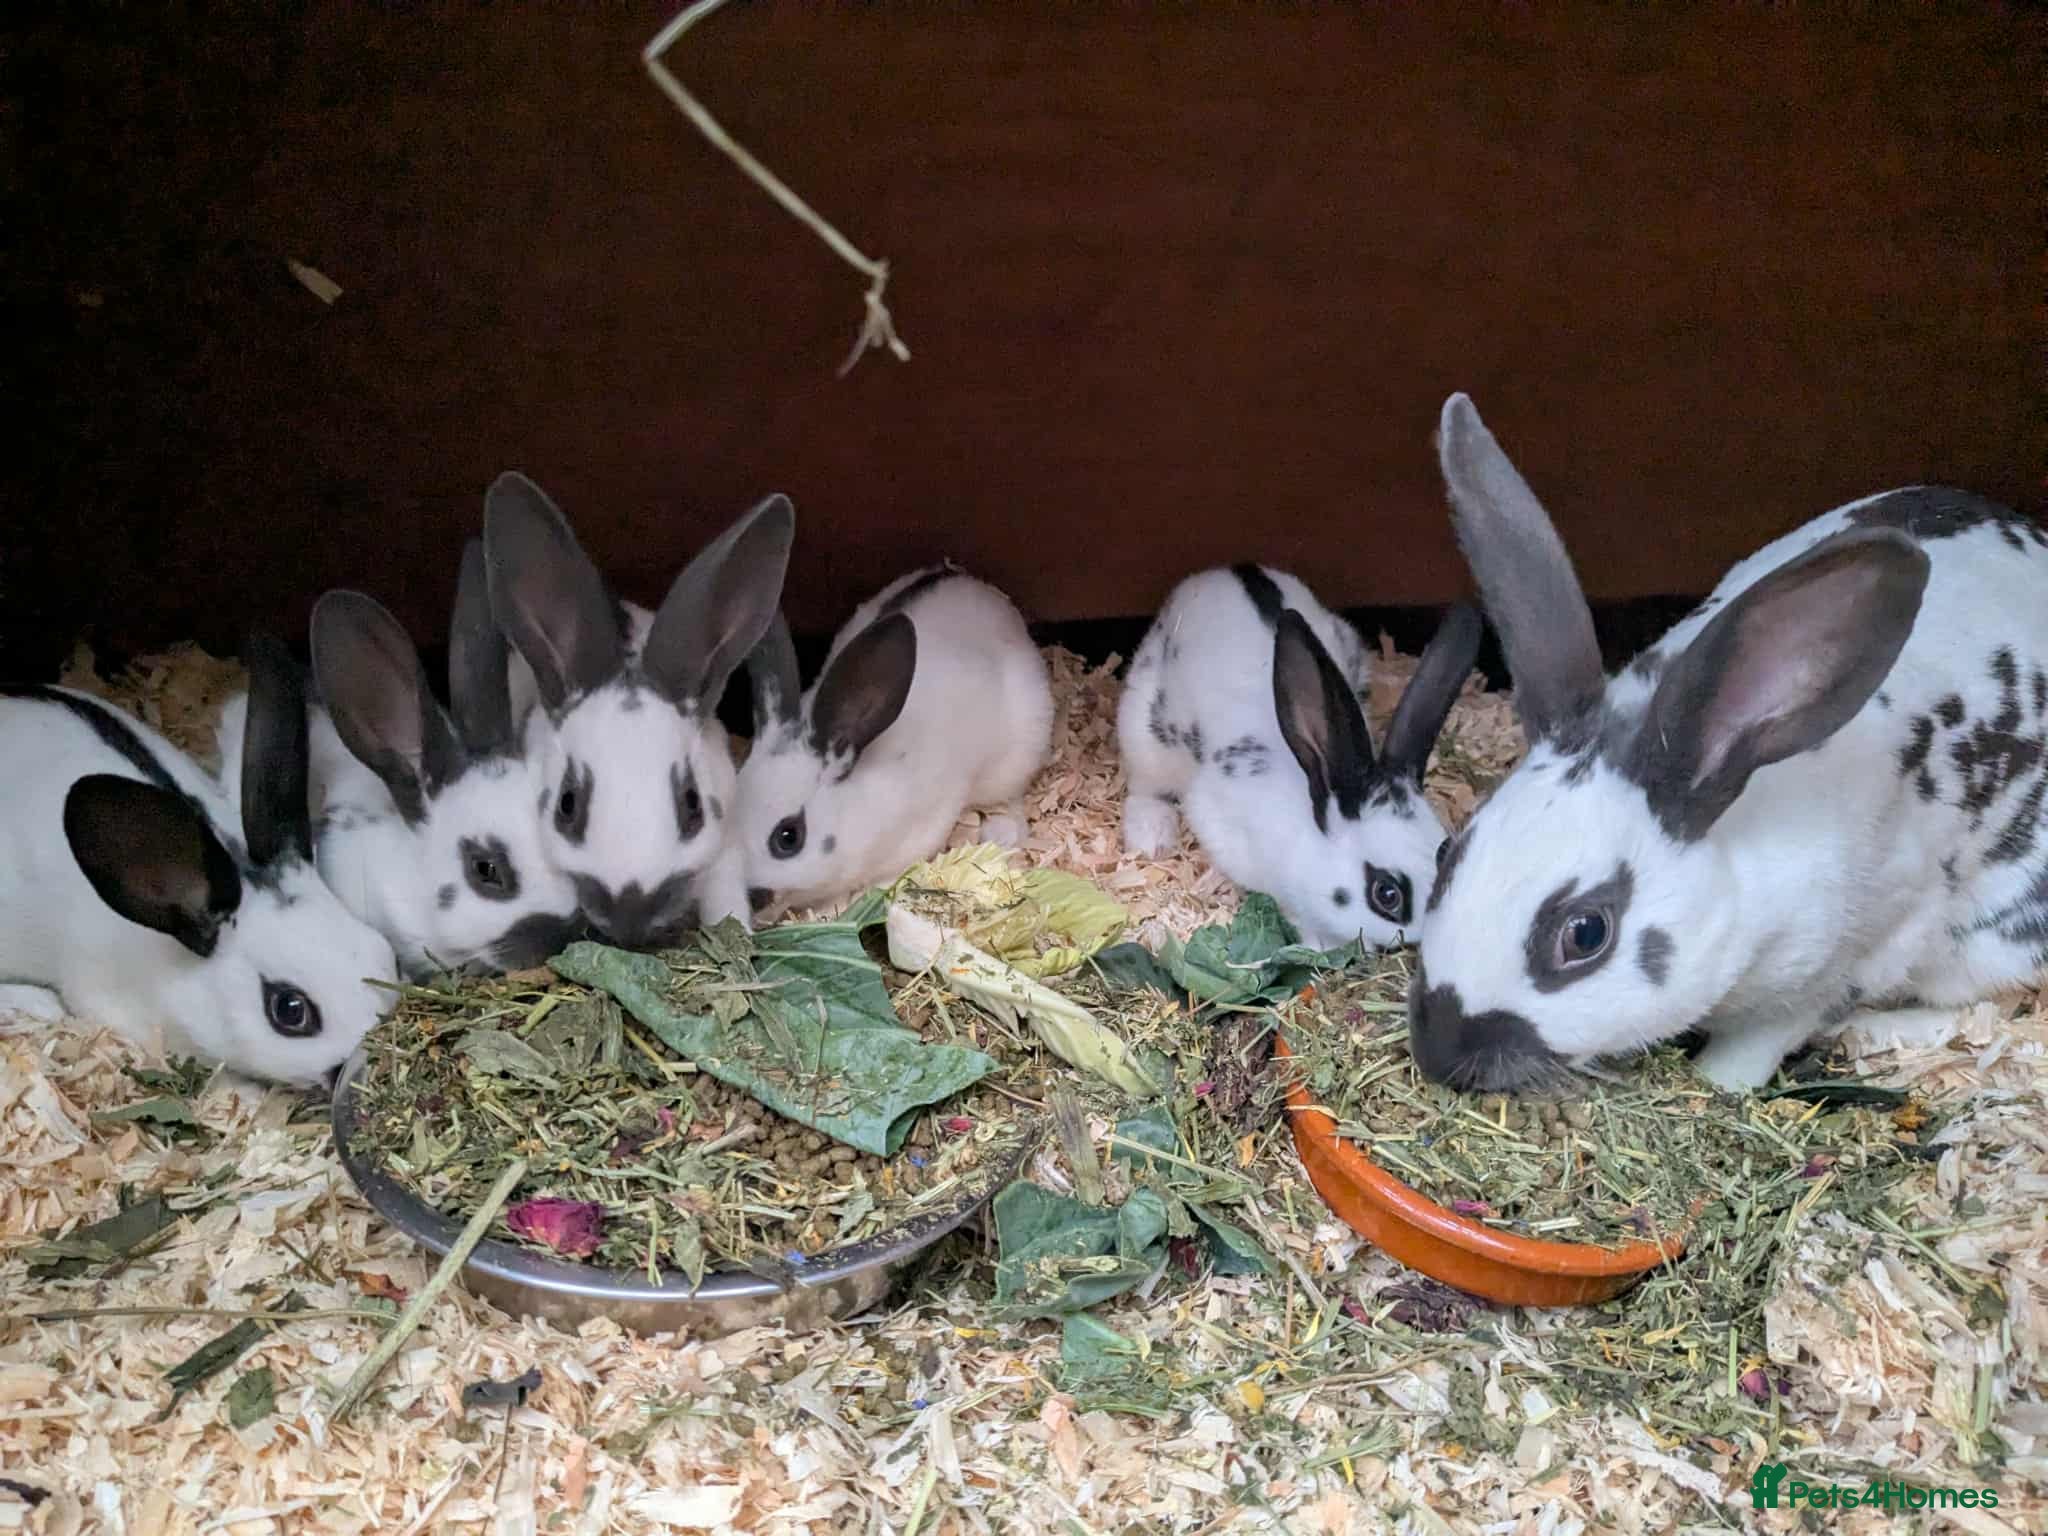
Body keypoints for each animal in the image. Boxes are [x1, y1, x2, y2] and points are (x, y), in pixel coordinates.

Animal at [1118, 564, 1483, 952]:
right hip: (1144, 734)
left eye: (1445, 852)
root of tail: (1221, 571)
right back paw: (1152, 837)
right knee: (1145, 790)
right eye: (1387, 894)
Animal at [1410, 391, 2048, 1094]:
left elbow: (1759, 1044)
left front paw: (1718, 1082)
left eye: (1585, 934)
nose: (1440, 1054)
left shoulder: (1839, 963)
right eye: (1445, 854)